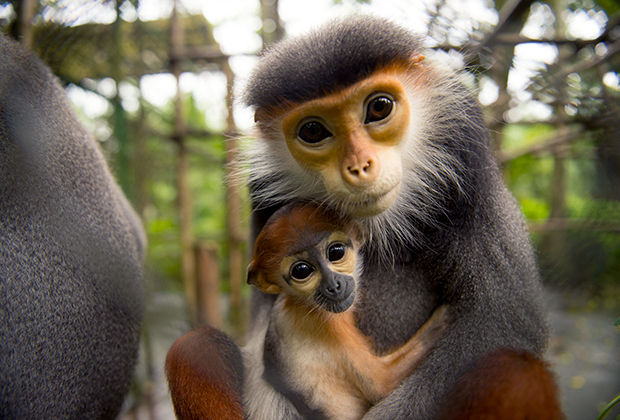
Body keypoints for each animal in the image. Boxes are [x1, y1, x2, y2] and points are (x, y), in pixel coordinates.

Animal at [247, 202, 450, 418]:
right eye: (301, 271)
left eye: (336, 252)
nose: (333, 285)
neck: (301, 304)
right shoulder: (326, 324)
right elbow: (382, 384)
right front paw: (447, 316)